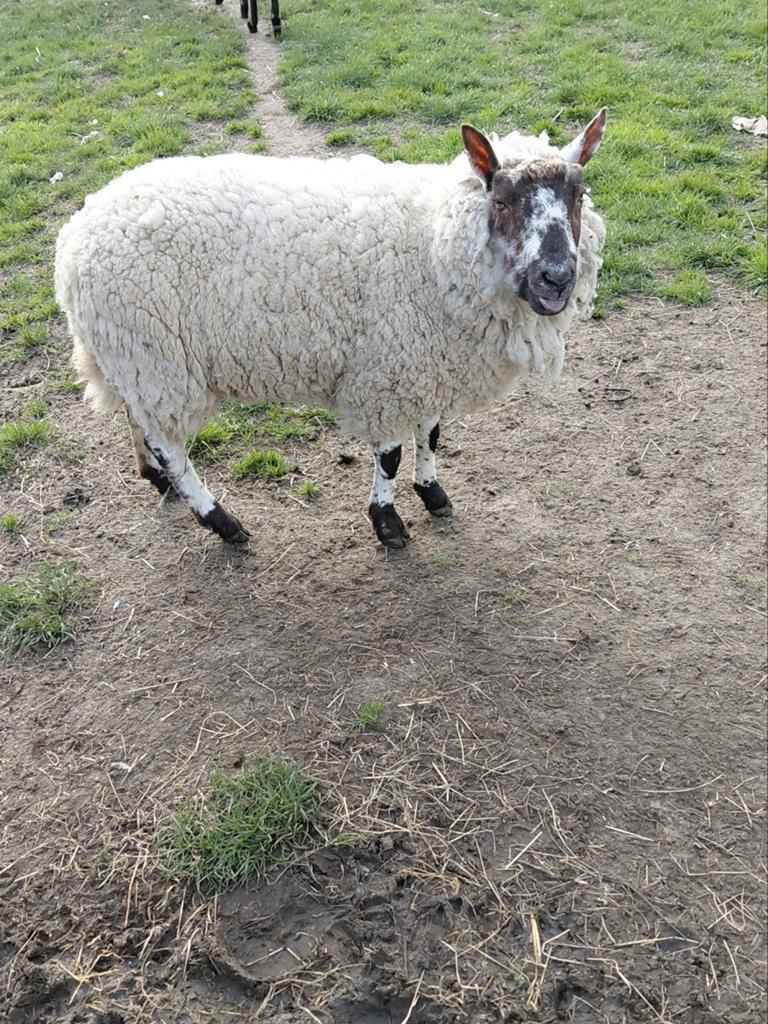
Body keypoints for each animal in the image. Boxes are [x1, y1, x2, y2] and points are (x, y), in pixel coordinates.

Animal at [54, 109, 607, 549]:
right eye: (504, 201)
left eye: (578, 196)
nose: (556, 278)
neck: (434, 243)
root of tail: (75, 235)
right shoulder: (390, 369)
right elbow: (391, 453)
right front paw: (387, 521)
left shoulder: (428, 361)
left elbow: (431, 432)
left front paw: (432, 493)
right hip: (155, 355)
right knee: (169, 445)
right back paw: (221, 521)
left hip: (134, 357)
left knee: (142, 421)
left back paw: (159, 481)